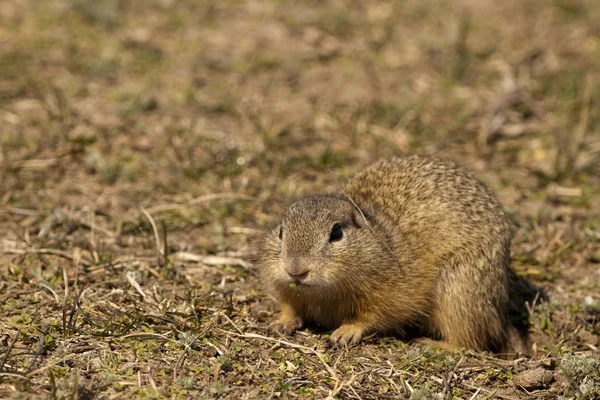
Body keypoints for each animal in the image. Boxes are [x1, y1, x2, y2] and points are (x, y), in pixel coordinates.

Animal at [260, 155, 524, 352]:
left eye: (336, 233)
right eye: (281, 231)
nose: (295, 270)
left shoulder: (392, 294)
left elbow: (372, 316)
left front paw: (345, 332)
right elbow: (290, 306)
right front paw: (281, 323)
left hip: (459, 294)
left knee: (470, 341)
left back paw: (429, 343)